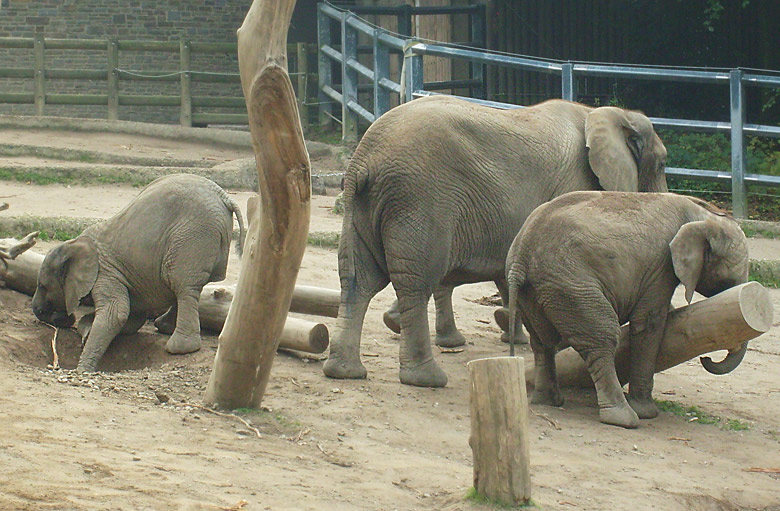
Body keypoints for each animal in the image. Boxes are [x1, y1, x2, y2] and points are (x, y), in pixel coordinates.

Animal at [32, 173, 245, 372]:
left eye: (43, 285)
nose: (64, 318)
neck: (73, 244)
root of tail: (224, 196)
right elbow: (132, 316)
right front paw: (87, 330)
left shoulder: (105, 272)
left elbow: (116, 313)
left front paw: (83, 368)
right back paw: (164, 327)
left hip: (192, 236)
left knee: (184, 286)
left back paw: (180, 348)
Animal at [326, 95, 668, 388]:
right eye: (663, 164)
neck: (607, 114)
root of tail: (362, 161)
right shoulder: (575, 184)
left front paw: (513, 334)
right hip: (419, 199)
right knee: (417, 281)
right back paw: (426, 379)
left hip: (368, 206)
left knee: (359, 280)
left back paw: (346, 371)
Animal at [506, 191, 748, 428]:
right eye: (729, 280)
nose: (706, 359)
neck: (703, 214)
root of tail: (521, 255)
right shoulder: (660, 268)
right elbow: (649, 325)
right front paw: (648, 413)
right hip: (571, 285)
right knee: (603, 338)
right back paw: (624, 418)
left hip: (537, 292)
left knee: (542, 342)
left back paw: (548, 401)